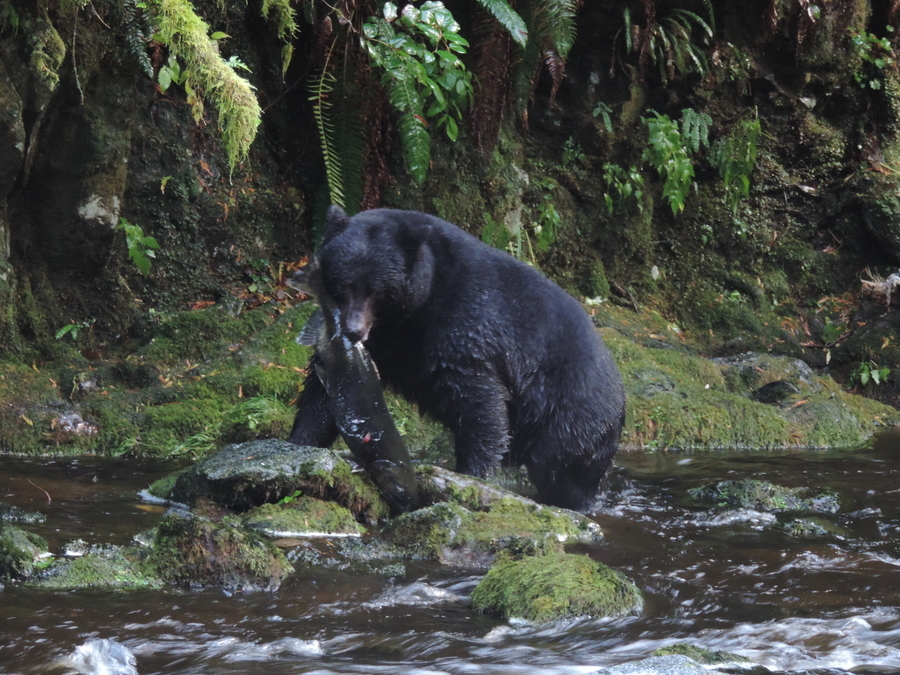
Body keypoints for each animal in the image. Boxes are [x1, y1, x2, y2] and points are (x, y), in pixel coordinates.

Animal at [288, 207, 624, 512]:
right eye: (343, 285)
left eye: (376, 290)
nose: (353, 331)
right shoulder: (382, 344)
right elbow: (322, 393)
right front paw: (300, 441)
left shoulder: (464, 325)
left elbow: (480, 403)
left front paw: (472, 476)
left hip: (571, 416)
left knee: (560, 467)